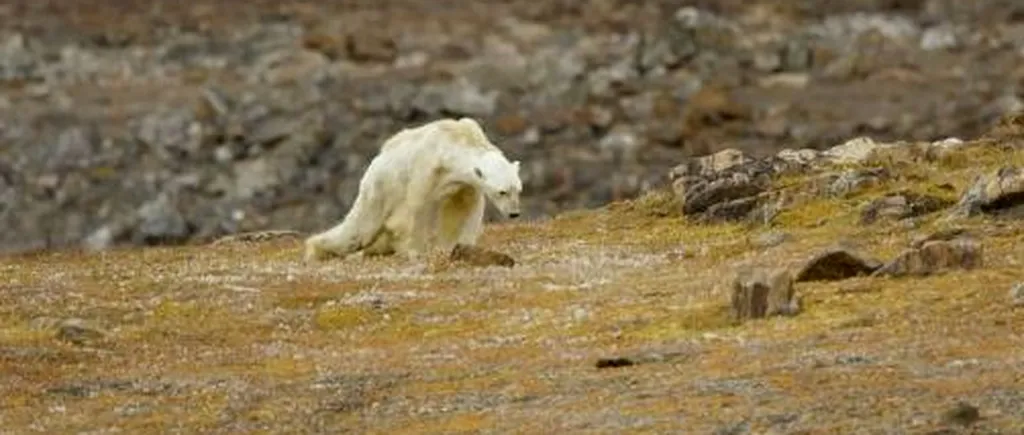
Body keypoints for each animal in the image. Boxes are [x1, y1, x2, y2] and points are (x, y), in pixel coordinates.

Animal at [305, 117, 524, 261]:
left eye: (518, 190)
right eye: (502, 192)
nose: (514, 213)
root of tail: (376, 161)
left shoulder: (464, 184)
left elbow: (463, 210)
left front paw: (460, 247)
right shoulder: (426, 168)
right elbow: (414, 209)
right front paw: (414, 250)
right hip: (380, 187)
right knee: (359, 229)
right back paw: (317, 249)